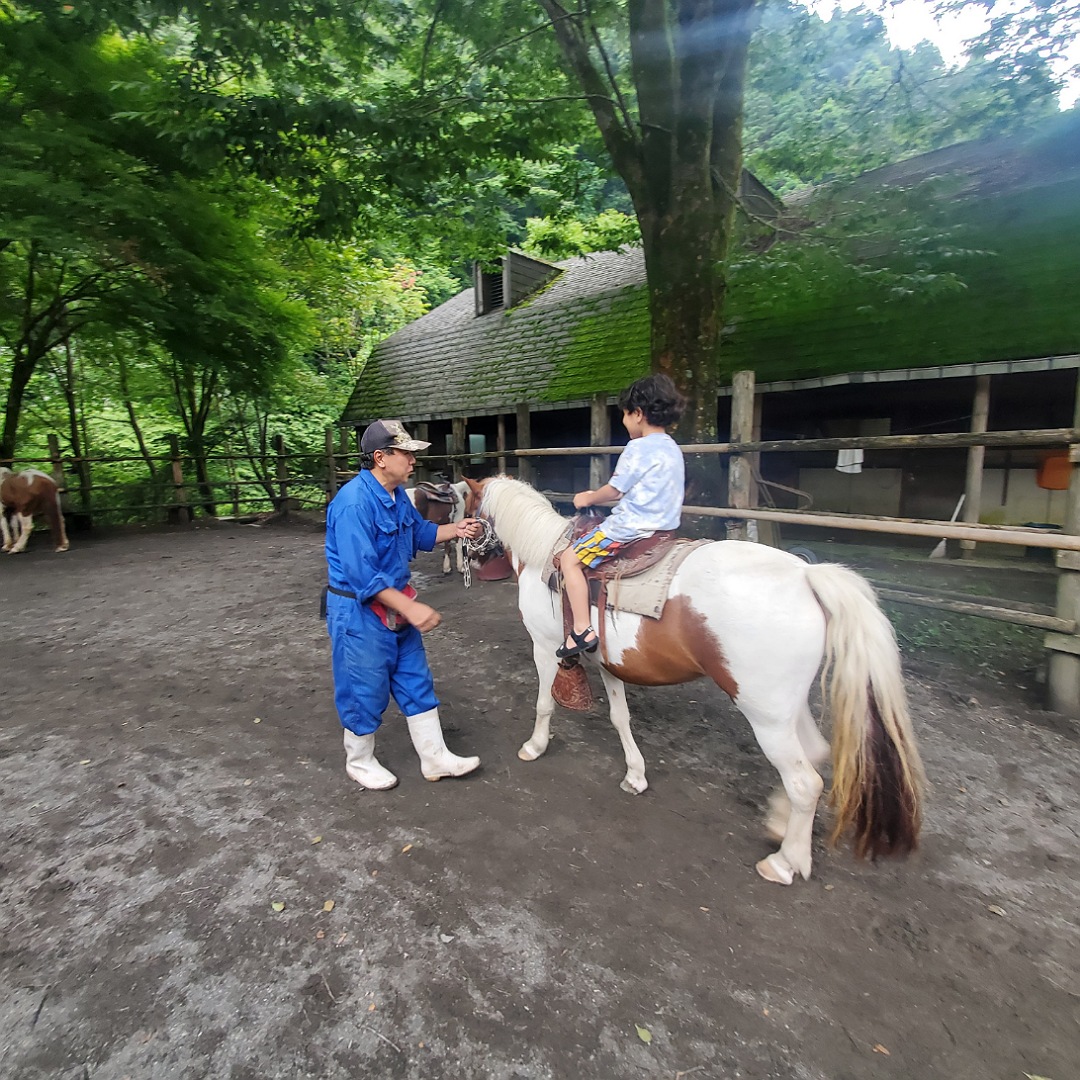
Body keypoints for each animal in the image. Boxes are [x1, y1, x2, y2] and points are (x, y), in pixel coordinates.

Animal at [477, 481, 924, 885]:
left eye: (469, 507)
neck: (543, 555)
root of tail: (805, 576)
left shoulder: (544, 645)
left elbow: (545, 704)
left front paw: (535, 746)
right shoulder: (609, 664)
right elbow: (620, 718)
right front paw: (635, 775)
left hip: (764, 716)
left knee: (805, 783)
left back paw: (785, 863)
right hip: (785, 709)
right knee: (815, 754)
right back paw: (779, 826)